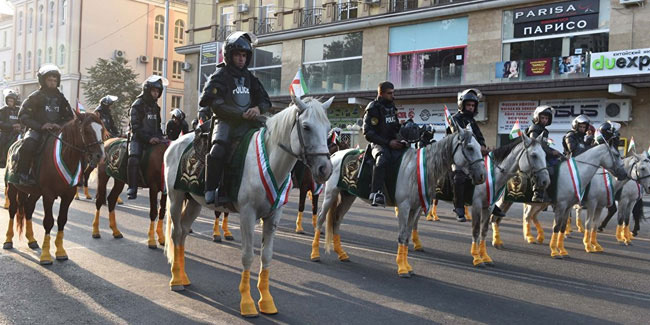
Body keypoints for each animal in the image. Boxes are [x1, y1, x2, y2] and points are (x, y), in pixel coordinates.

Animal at [4, 112, 104, 264]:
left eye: (102, 130)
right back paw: (8, 241)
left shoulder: (68, 195)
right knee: (12, 210)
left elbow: (62, 220)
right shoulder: (48, 195)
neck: (66, 156)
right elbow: (48, 222)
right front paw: (46, 255)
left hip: (35, 192)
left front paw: (60, 252)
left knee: (28, 209)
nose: (99, 156)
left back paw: (32, 240)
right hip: (12, 188)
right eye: (87, 131)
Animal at [165, 95, 332, 316]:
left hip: (193, 202)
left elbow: (266, 257)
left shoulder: (273, 216)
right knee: (176, 233)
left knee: (183, 232)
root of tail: (174, 144)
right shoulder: (247, 215)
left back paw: (183, 277)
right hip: (175, 198)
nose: (325, 169)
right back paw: (176, 280)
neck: (270, 162)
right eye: (306, 127)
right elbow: (247, 257)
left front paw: (266, 301)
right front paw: (247, 302)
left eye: (328, 127)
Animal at [312, 128, 484, 276]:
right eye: (470, 148)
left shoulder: (415, 209)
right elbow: (401, 236)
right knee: (320, 219)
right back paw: (315, 254)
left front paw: (407, 267)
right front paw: (402, 268)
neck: (416, 170)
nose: (481, 176)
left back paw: (342, 254)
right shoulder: (404, 207)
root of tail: (334, 155)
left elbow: (407, 236)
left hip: (348, 196)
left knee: (336, 220)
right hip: (330, 194)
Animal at [494, 144, 624, 258]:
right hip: (506, 200)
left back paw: (530, 237)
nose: (623, 174)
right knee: (496, 217)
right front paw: (555, 251)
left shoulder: (570, 206)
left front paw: (562, 250)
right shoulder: (568, 205)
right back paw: (497, 242)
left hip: (536, 204)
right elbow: (557, 226)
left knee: (527, 216)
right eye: (617, 154)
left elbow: (563, 227)